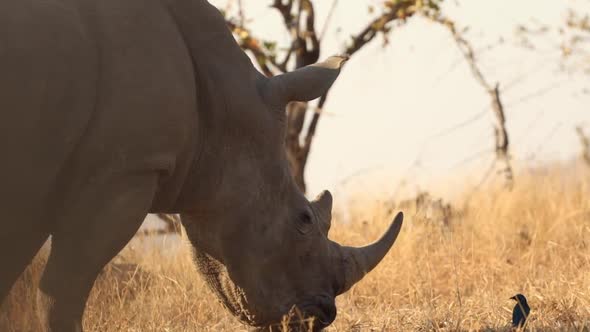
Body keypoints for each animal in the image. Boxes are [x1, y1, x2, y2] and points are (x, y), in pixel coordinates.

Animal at [0, 0, 404, 330]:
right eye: (303, 220)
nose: (321, 316)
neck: (221, 103)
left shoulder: (39, 173)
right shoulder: (126, 170)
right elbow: (61, 293)